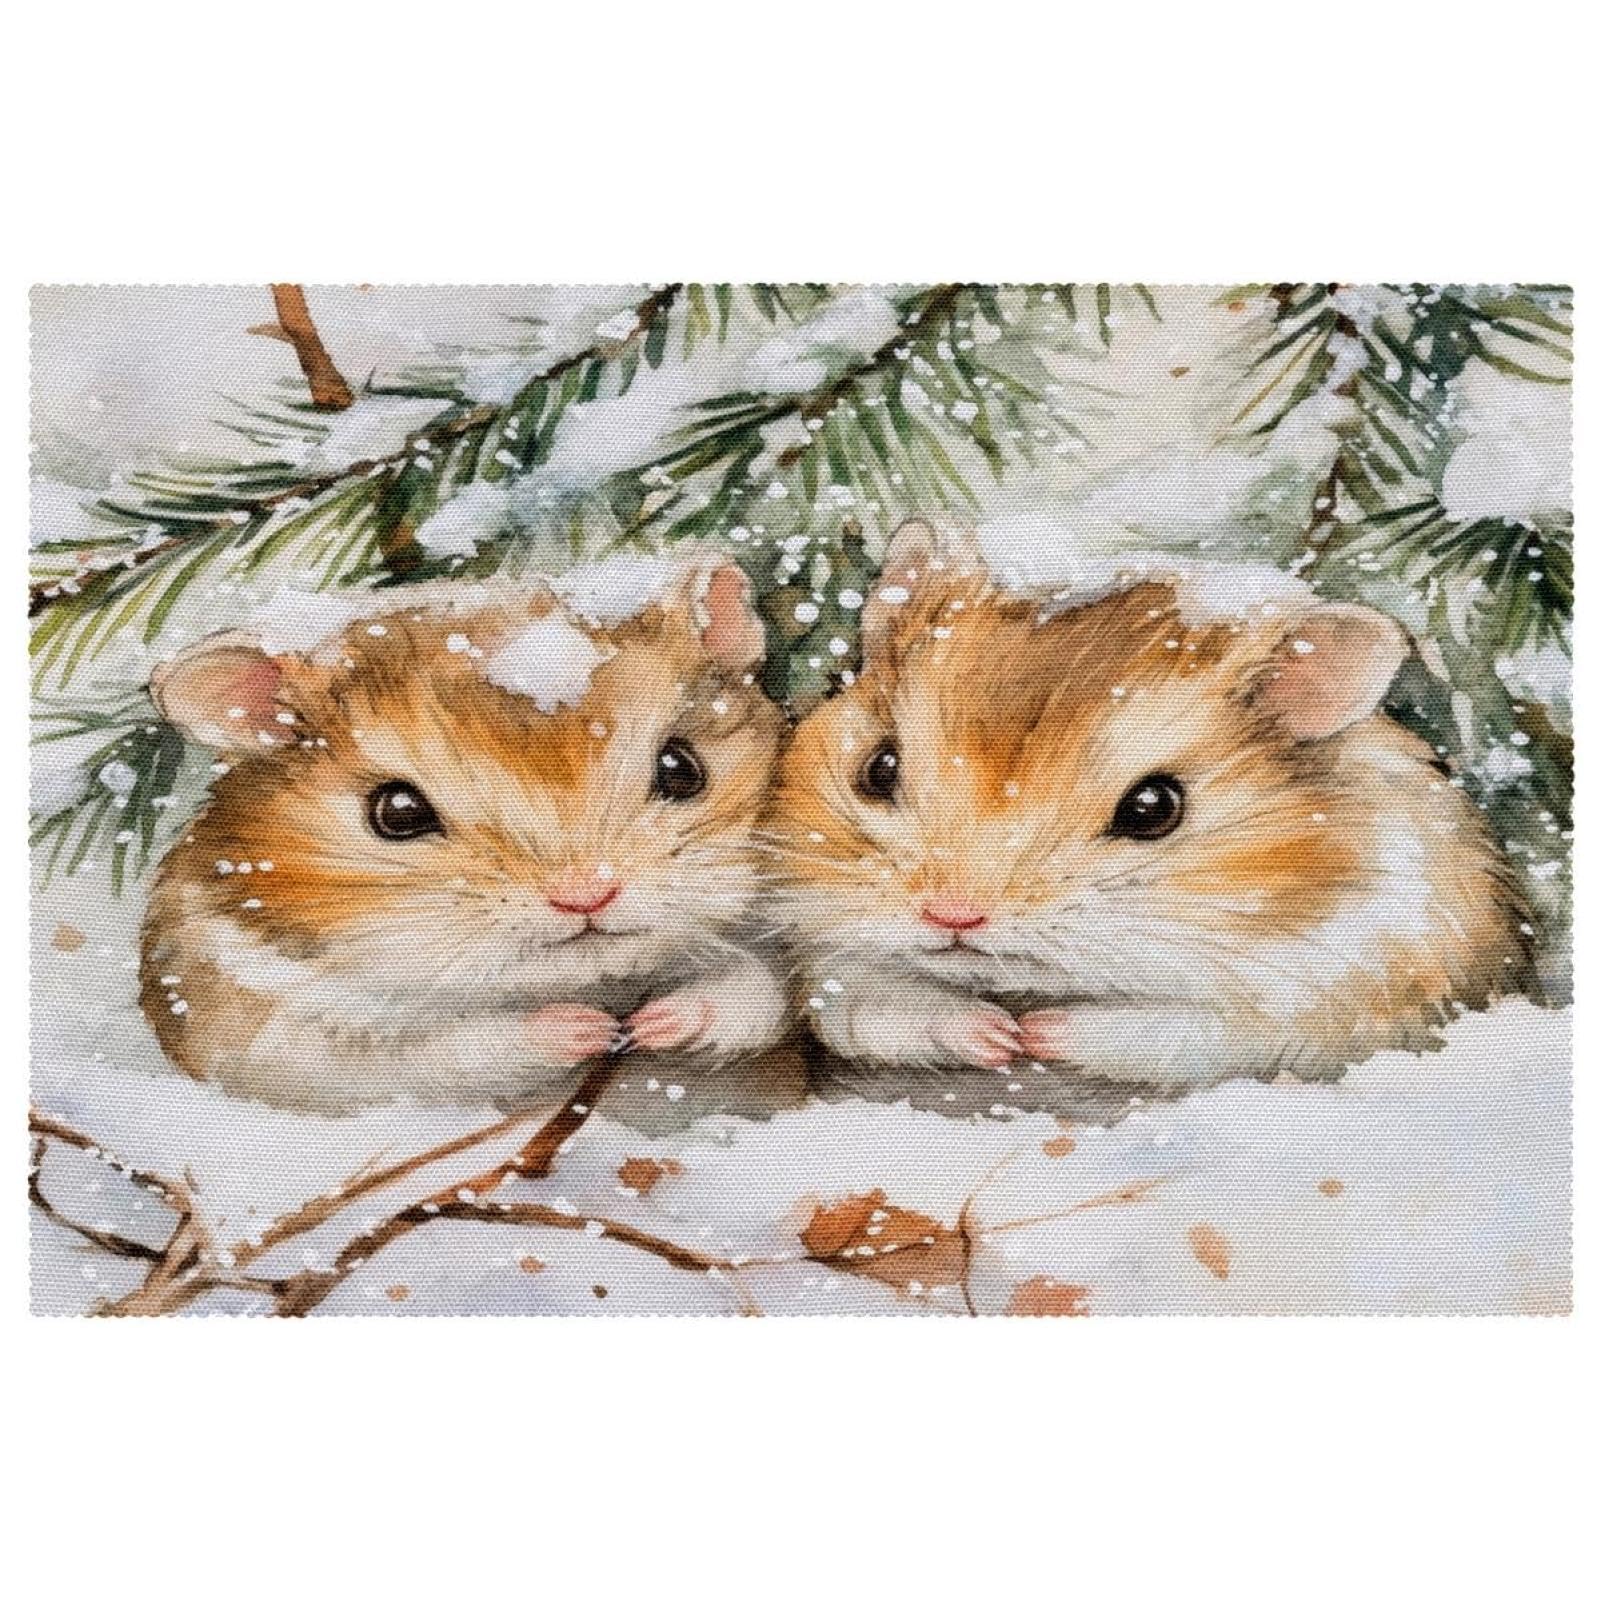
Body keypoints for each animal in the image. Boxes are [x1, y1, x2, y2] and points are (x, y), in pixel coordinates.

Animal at [139, 558, 790, 1111]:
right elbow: (447, 1052)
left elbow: (755, 997)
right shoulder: (270, 1026)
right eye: (398, 813)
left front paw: (656, 1021)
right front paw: (590, 1027)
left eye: (682, 768)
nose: (586, 895)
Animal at [767, 520, 1530, 1091]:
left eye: (1153, 808)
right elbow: (892, 1004)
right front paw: (997, 1033)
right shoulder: (832, 967)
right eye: (879, 768)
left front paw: (1036, 1033)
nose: (952, 915)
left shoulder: (1326, 994)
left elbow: (1159, 1030)